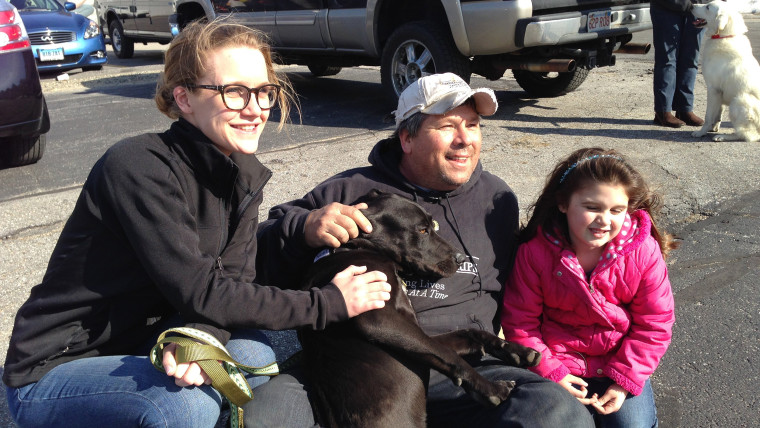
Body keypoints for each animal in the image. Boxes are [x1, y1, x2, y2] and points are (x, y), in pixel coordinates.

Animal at [296, 191, 540, 428]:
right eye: (422, 230)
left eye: (433, 225)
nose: (461, 258)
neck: (355, 249)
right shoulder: (377, 319)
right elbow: (448, 353)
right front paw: (490, 389)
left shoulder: (416, 333)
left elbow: (469, 333)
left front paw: (515, 351)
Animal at [696, 0, 760, 143]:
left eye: (708, 7)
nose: (691, 6)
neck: (724, 36)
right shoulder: (719, 92)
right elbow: (717, 114)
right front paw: (713, 127)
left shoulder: (713, 89)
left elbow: (708, 116)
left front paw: (702, 132)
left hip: (739, 100)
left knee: (749, 135)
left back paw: (722, 136)